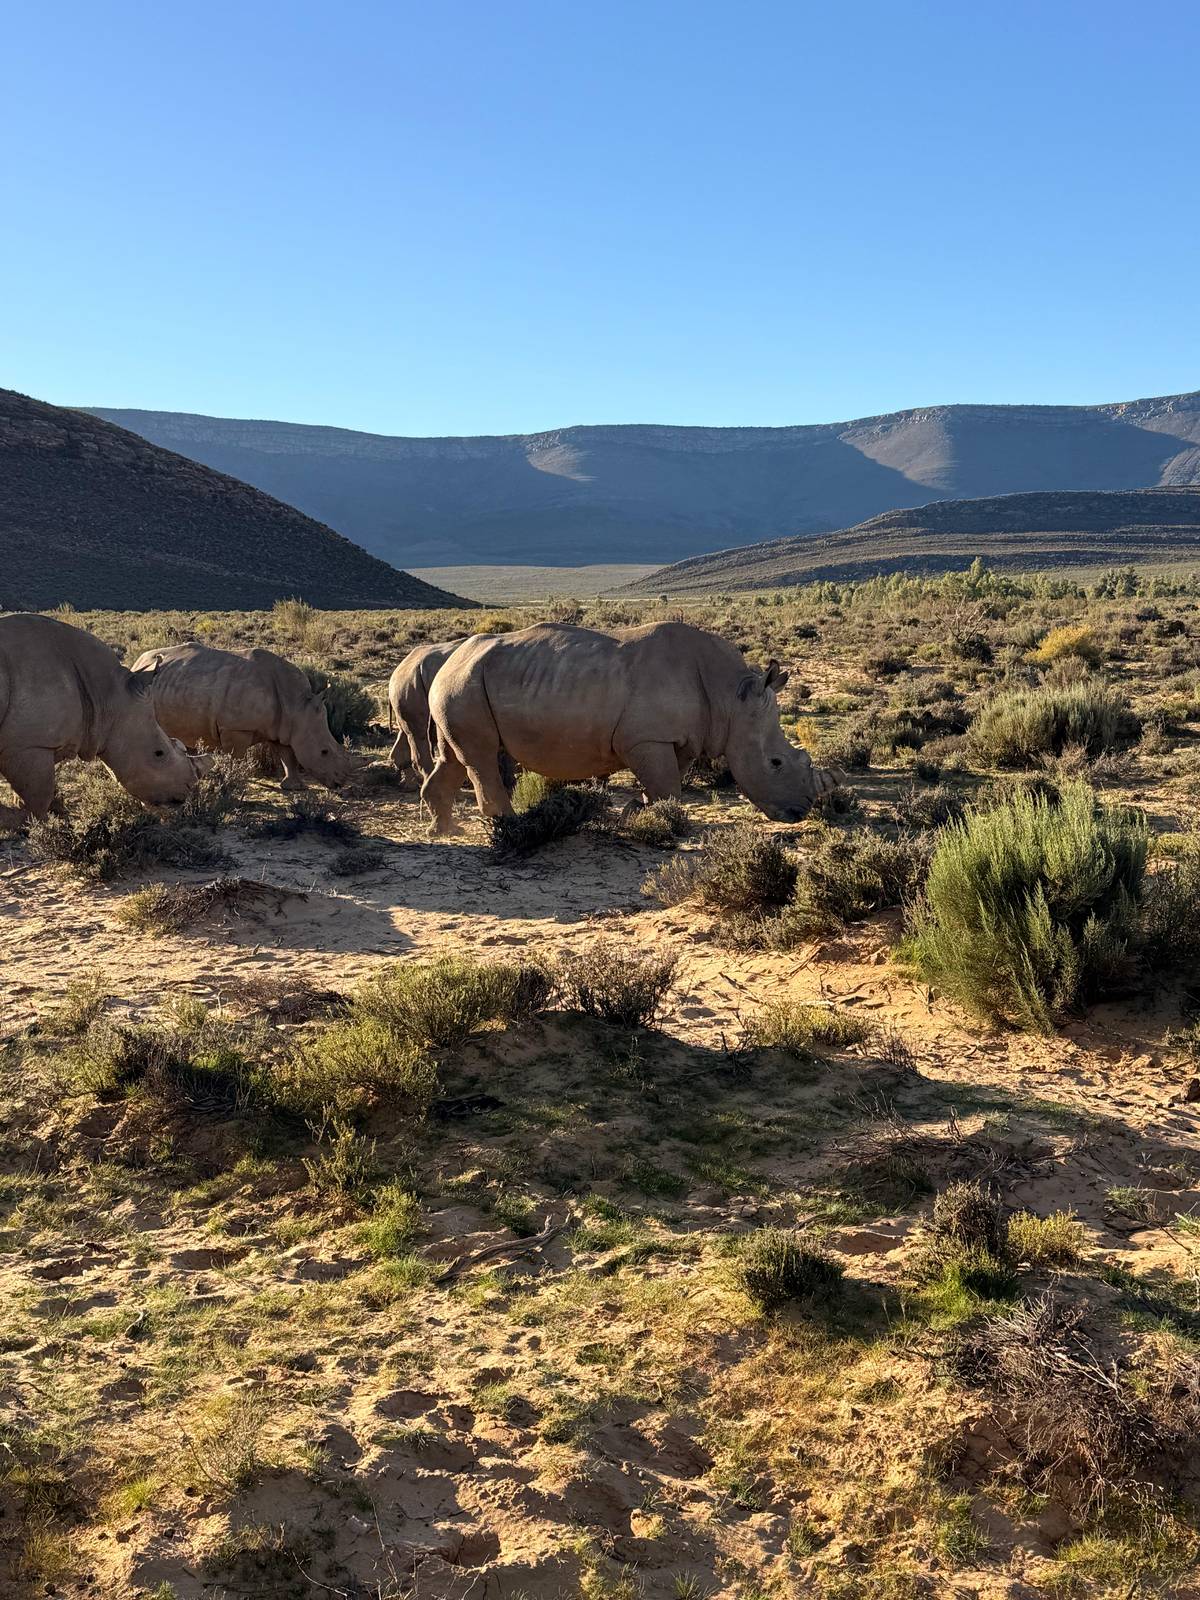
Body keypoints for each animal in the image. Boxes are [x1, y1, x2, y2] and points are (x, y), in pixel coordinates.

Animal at [0, 613, 197, 825]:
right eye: (159, 754)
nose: (186, 791)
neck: (106, 695)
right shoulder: (29, 745)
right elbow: (38, 799)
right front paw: (20, 822)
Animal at [130, 642, 351, 791]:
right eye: (324, 752)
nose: (340, 783)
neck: (297, 705)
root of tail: (137, 661)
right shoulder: (235, 727)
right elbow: (237, 756)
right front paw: (234, 781)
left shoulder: (284, 727)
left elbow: (287, 755)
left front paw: (294, 787)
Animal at [422, 621, 840, 833]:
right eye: (775, 763)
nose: (801, 811)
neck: (732, 698)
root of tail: (450, 658)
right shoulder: (646, 738)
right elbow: (668, 786)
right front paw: (661, 824)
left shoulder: (680, 739)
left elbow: (667, 784)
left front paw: (637, 814)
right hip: (464, 685)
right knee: (480, 758)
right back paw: (508, 828)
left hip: (460, 684)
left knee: (454, 757)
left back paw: (444, 831)